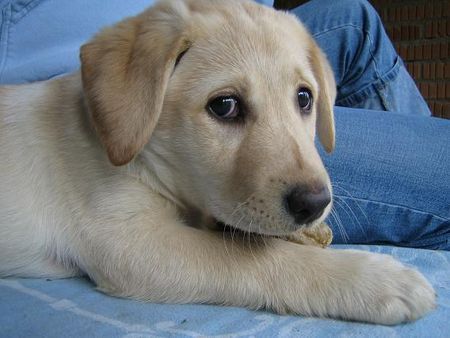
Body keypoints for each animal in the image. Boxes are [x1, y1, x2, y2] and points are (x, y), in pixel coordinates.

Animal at [0, 0, 436, 324]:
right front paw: (375, 280)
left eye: (305, 98)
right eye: (224, 106)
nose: (315, 205)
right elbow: (253, 256)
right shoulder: (125, 238)